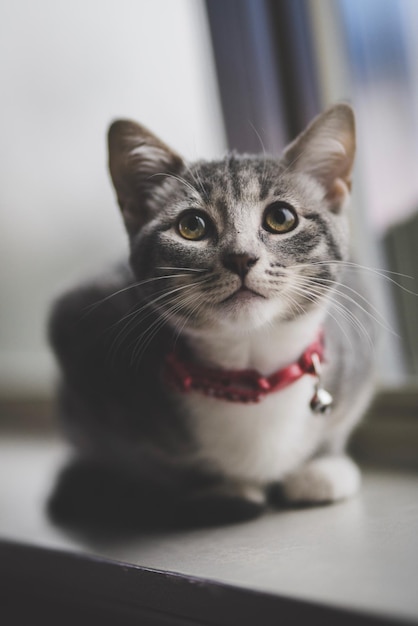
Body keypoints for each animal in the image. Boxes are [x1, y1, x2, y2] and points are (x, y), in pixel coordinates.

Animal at [49, 103, 376, 528]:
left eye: (281, 217)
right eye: (192, 225)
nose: (241, 257)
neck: (252, 376)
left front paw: (322, 466)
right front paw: (219, 488)